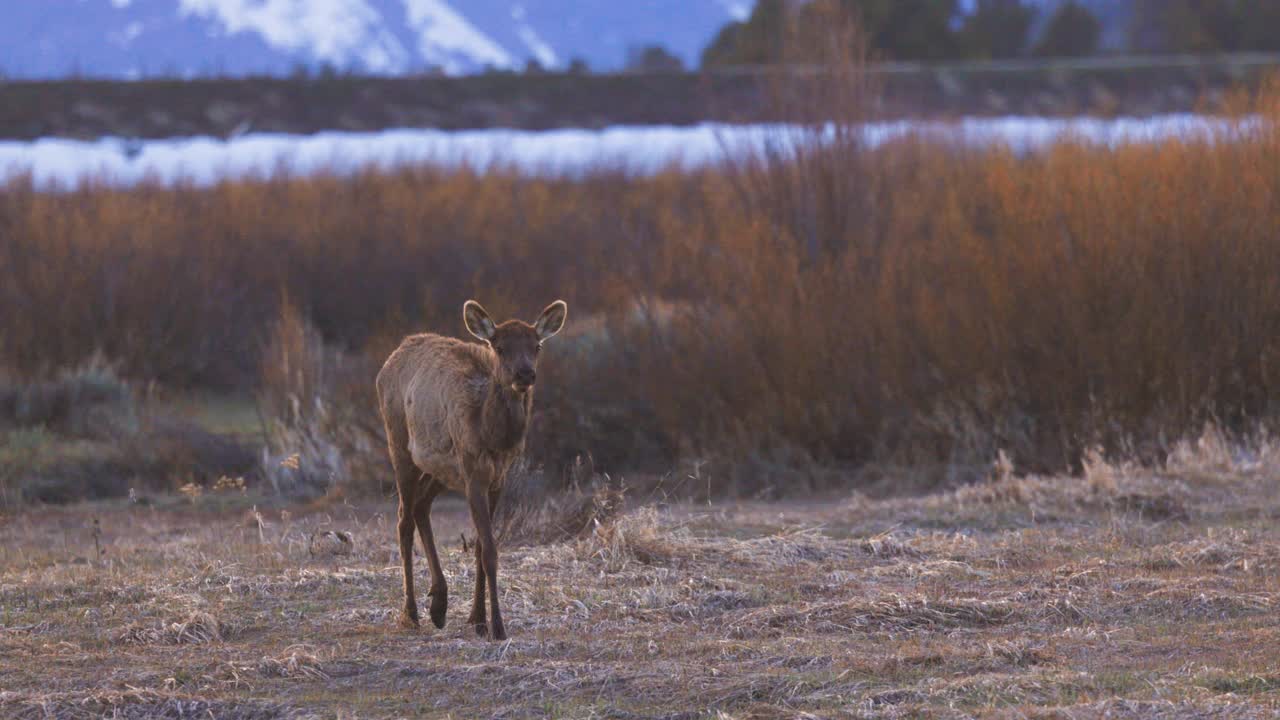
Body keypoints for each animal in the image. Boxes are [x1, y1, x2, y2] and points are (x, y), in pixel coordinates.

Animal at [373, 298, 565, 638]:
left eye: (537, 345)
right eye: (499, 347)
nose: (525, 374)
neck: (493, 436)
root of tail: (391, 358)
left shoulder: (497, 478)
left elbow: (478, 547)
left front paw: (477, 619)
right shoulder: (474, 472)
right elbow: (489, 549)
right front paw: (497, 626)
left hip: (440, 468)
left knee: (421, 507)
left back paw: (439, 603)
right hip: (400, 444)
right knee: (403, 519)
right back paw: (411, 612)